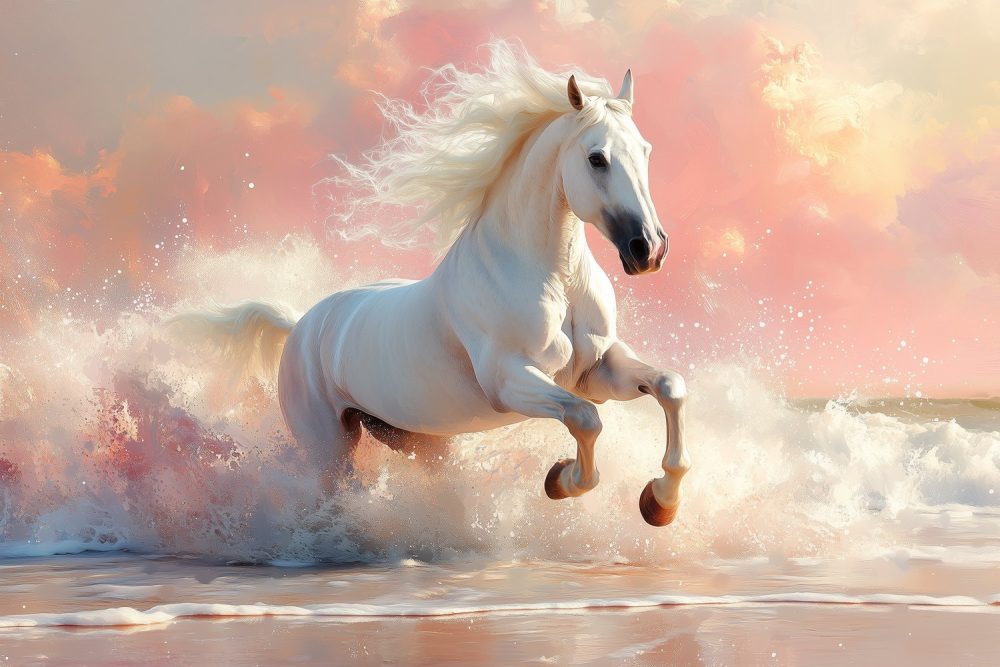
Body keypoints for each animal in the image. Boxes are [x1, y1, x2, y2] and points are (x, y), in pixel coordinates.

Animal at [175, 43, 690, 526]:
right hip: (327, 448)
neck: (557, 282)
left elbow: (669, 386)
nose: (648, 249)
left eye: (645, 151)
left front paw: (659, 503)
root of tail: (302, 324)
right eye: (597, 158)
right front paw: (560, 479)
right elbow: (585, 419)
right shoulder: (510, 379)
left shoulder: (596, 371)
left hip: (418, 440)